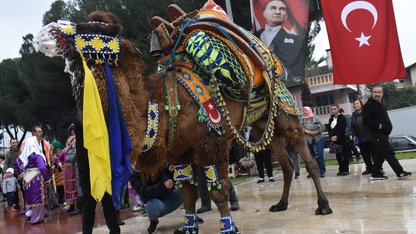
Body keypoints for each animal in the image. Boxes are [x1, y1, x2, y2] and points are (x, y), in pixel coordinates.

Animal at [33, 2, 332, 234]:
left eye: (93, 29)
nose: (44, 32)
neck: (162, 105)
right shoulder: (177, 151)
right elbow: (186, 191)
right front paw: (189, 226)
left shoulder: (212, 142)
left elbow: (218, 189)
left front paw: (228, 228)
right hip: (261, 124)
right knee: (286, 162)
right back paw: (281, 204)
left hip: (285, 113)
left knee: (306, 157)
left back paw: (323, 205)